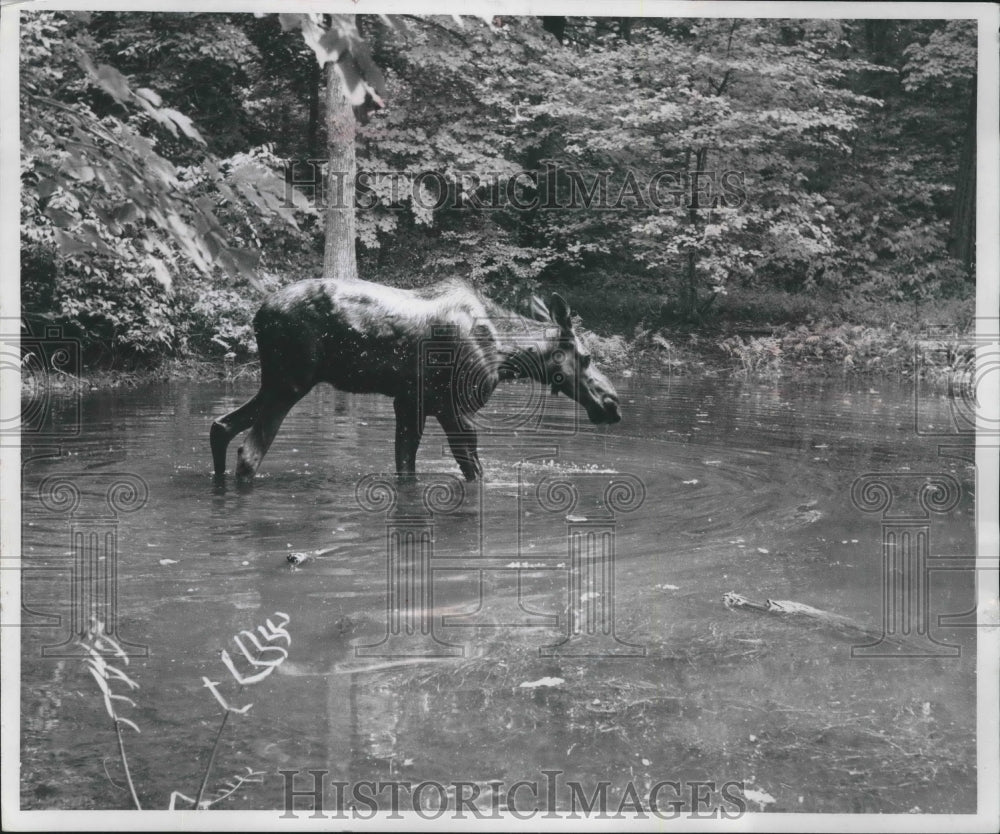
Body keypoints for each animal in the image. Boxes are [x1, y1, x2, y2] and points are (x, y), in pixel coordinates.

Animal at [208, 276, 620, 480]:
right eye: (586, 358)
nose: (612, 403)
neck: (508, 356)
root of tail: (258, 315)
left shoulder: (409, 403)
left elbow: (405, 465)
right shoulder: (454, 407)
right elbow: (474, 470)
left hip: (276, 381)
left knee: (221, 426)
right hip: (290, 383)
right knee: (249, 452)